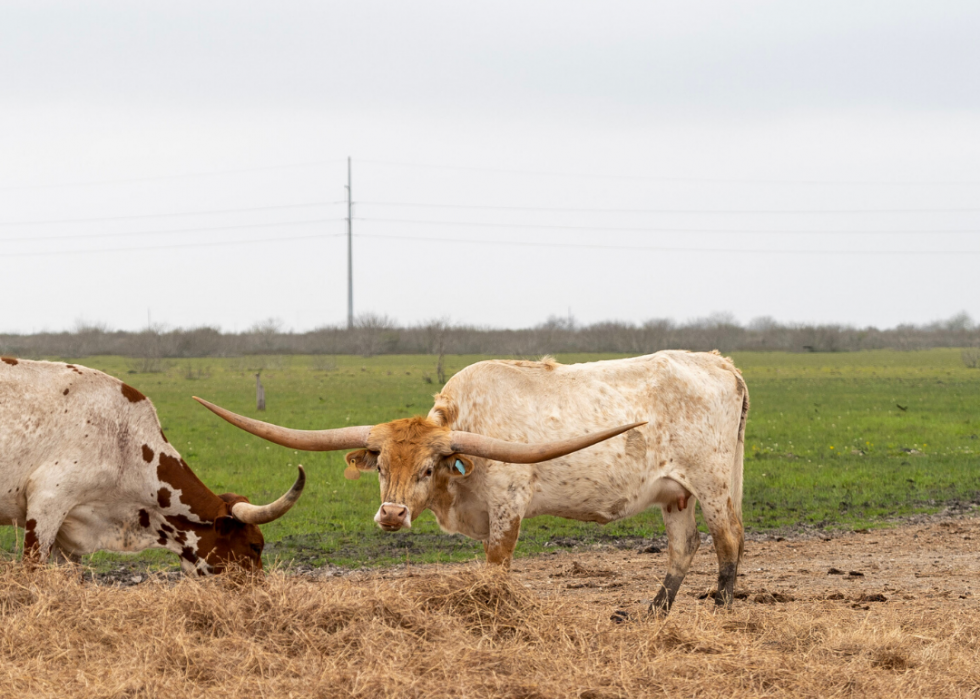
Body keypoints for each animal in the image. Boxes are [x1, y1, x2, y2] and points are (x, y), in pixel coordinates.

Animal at [199, 352, 752, 608]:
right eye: (380, 467)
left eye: (427, 469)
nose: (392, 514)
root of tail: (719, 362)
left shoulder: (508, 509)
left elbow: (495, 568)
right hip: (676, 493)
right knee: (684, 546)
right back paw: (651, 613)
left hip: (713, 484)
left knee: (728, 540)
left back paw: (720, 608)